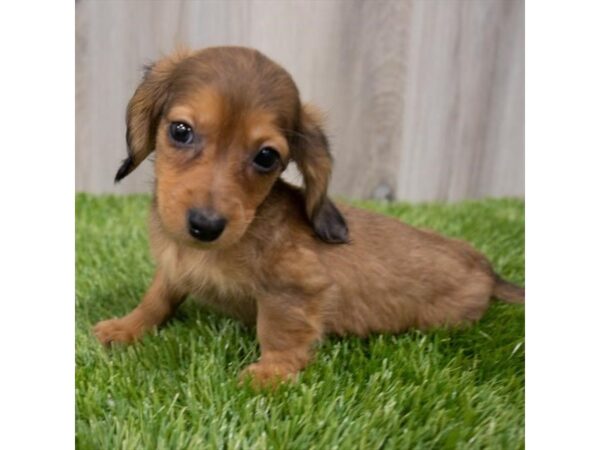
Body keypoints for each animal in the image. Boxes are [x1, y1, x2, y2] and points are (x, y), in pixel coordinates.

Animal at [95, 47, 524, 388]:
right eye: (181, 130)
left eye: (267, 157)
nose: (205, 226)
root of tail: (487, 270)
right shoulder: (173, 268)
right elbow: (158, 297)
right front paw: (127, 326)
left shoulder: (296, 288)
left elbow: (279, 330)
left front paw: (271, 374)